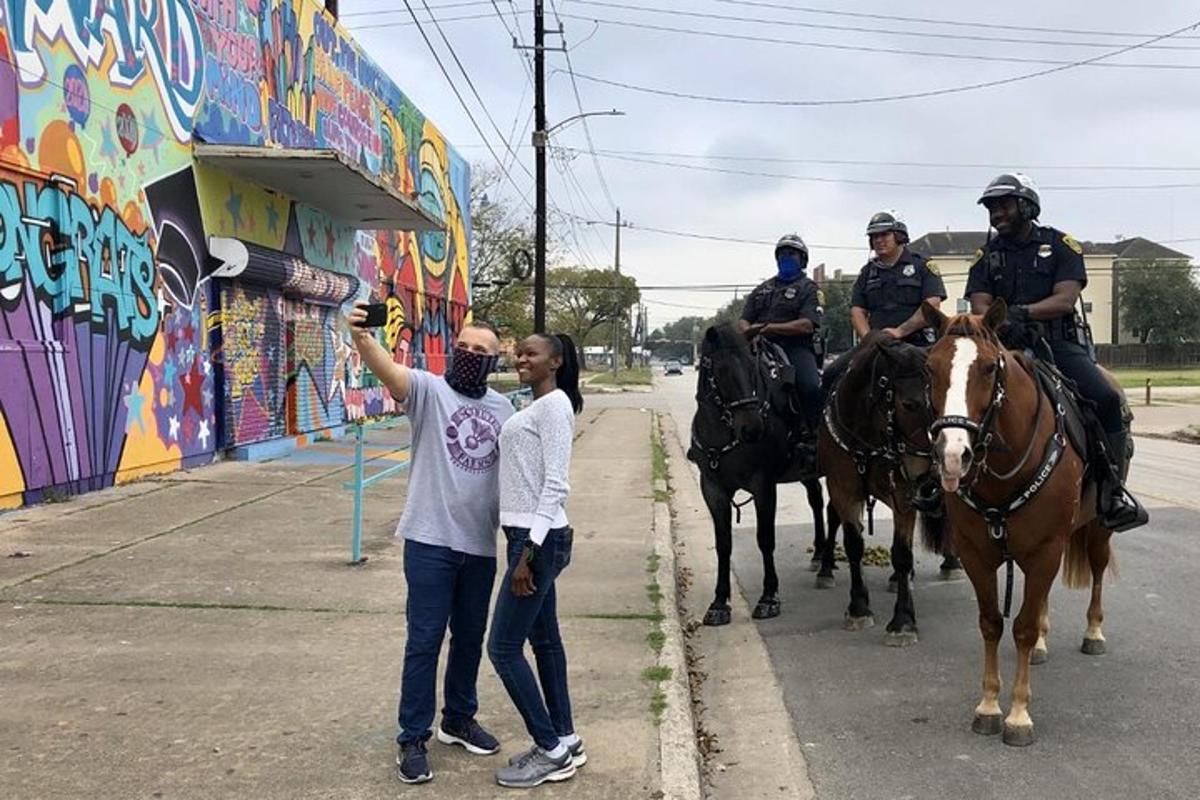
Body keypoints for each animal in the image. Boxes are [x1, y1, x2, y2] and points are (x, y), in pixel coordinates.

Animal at [686, 321, 825, 628]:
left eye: (752, 366)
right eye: (720, 369)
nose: (752, 428)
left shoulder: (763, 485)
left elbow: (765, 539)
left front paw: (769, 598)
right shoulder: (712, 488)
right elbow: (723, 543)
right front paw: (719, 603)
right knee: (817, 501)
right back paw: (821, 556)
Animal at [916, 297, 1113, 748]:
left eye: (990, 367)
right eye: (930, 367)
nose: (953, 456)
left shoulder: (1045, 549)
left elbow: (1020, 627)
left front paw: (1019, 714)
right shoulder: (977, 554)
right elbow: (992, 623)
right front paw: (989, 705)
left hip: (1095, 529)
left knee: (1096, 569)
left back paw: (1093, 633)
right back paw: (1043, 642)